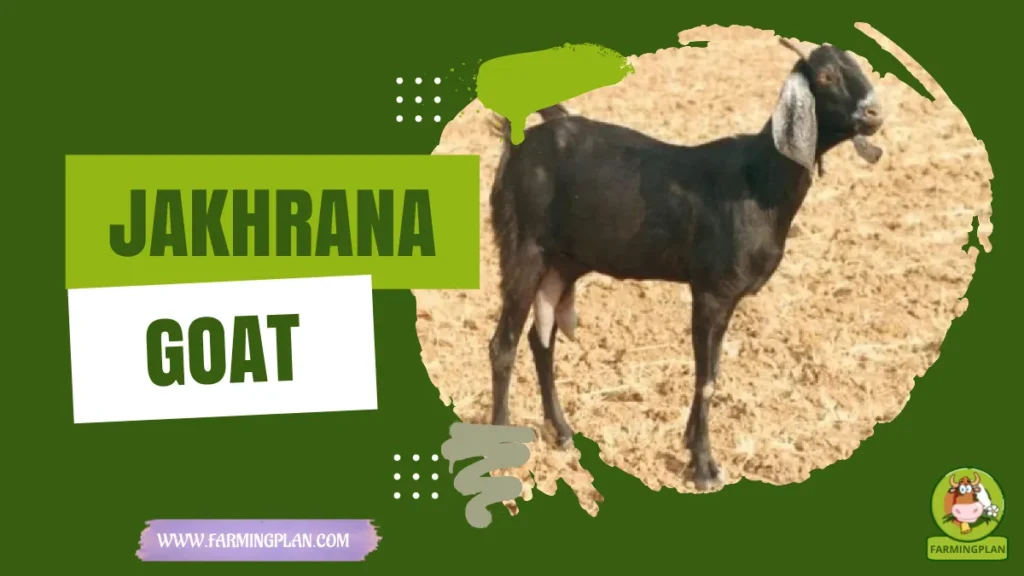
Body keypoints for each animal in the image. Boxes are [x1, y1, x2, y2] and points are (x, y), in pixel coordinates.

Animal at [485, 39, 886, 491]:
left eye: (857, 65)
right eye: (826, 76)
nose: (874, 114)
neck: (758, 181)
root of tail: (518, 141)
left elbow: (710, 373)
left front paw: (693, 448)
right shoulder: (712, 290)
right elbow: (707, 379)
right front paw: (704, 466)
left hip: (562, 265)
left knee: (542, 340)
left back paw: (563, 432)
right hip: (523, 250)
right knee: (503, 345)